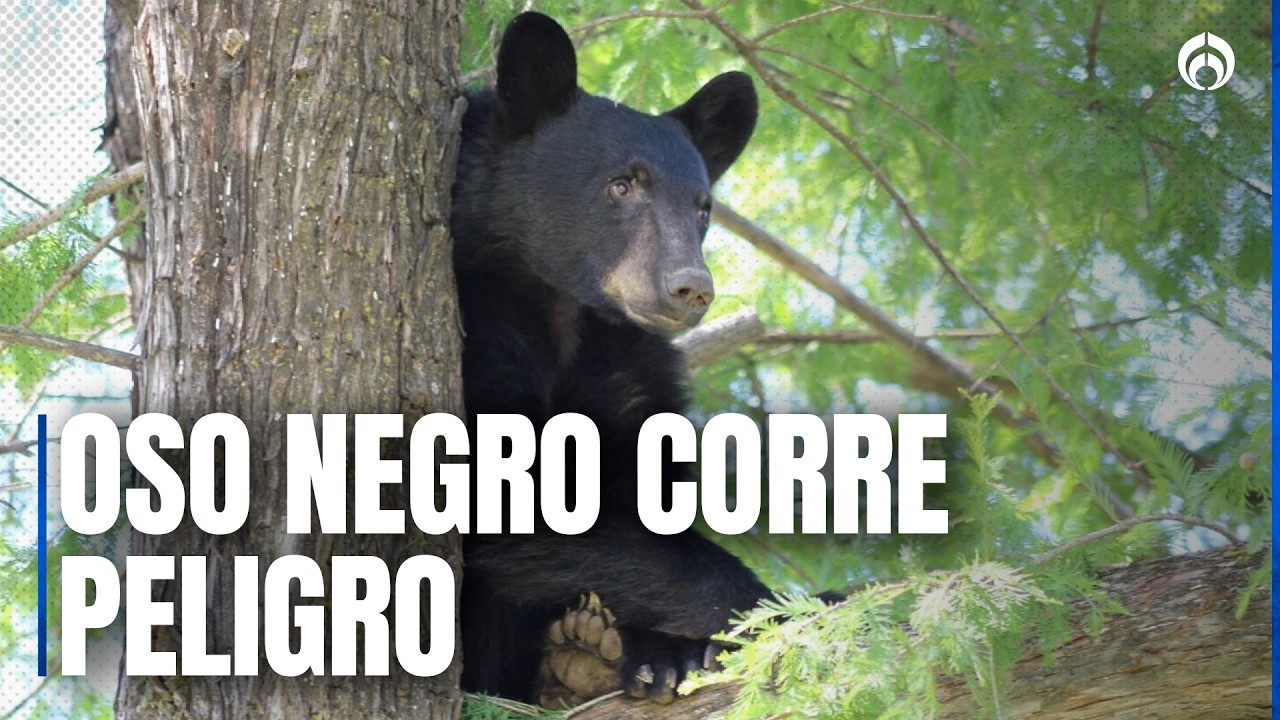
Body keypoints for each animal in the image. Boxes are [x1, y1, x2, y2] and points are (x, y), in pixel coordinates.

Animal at [450, 12, 771, 705]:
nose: (690, 287)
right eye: (622, 184)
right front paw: (770, 607)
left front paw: (667, 651)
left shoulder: (624, 367)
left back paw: (582, 652)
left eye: (702, 207)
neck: (562, 312)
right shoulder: (477, 328)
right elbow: (492, 492)